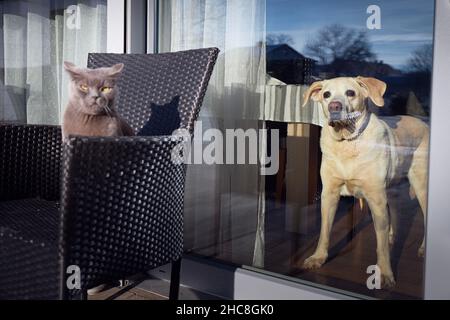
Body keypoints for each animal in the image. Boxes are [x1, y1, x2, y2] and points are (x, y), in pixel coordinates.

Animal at [302, 77, 428, 288]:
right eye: (326, 95)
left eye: (350, 93)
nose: (334, 106)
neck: (347, 143)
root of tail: (421, 120)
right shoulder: (329, 194)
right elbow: (324, 231)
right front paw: (318, 257)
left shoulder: (376, 198)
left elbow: (381, 246)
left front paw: (384, 273)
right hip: (390, 188)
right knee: (393, 211)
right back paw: (393, 235)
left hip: (421, 187)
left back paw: (423, 247)